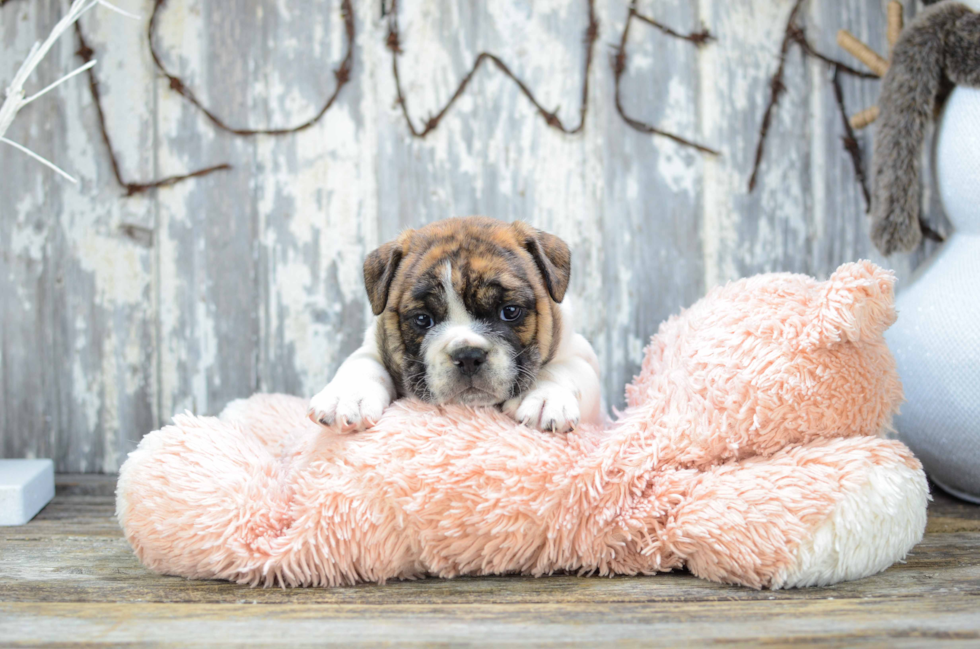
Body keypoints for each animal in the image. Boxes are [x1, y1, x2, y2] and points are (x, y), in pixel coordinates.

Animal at [306, 215, 600, 432]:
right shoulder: (374, 346)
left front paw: (546, 398)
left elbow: (561, 370)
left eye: (510, 311)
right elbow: (363, 365)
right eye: (423, 319)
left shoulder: (581, 357)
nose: (468, 356)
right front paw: (347, 397)